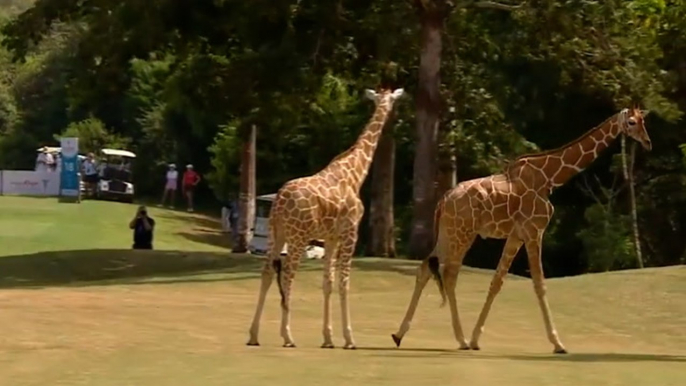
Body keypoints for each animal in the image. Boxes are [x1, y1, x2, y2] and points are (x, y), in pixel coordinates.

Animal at [249, 87, 406, 350]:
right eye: (392, 98)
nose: (393, 110)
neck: (355, 173)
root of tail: (279, 201)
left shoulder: (330, 238)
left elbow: (328, 283)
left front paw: (328, 338)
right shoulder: (351, 232)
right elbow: (344, 282)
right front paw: (349, 338)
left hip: (275, 232)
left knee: (267, 271)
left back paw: (253, 335)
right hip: (298, 236)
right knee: (288, 274)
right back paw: (287, 336)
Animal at [390, 105, 652, 352]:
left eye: (643, 121)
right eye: (631, 122)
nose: (648, 142)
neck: (551, 178)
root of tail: (443, 200)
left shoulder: (516, 235)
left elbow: (497, 282)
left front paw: (476, 339)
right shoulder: (534, 231)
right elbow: (539, 284)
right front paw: (558, 343)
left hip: (450, 233)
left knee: (429, 268)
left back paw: (405, 335)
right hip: (461, 234)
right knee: (446, 273)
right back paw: (454, 338)